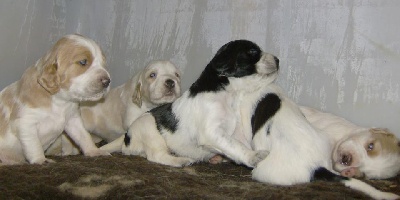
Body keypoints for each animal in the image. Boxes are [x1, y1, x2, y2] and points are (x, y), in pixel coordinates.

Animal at [0, 34, 111, 166]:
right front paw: (41, 160)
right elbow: (34, 144)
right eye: (83, 62)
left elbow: (84, 136)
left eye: (103, 63)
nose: (107, 81)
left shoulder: (73, 119)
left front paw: (94, 151)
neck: (60, 100)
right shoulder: (25, 122)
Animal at [101, 39, 278, 168]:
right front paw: (253, 156)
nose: (277, 59)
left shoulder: (233, 129)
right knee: (156, 155)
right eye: (253, 52)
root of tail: (127, 137)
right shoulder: (211, 132)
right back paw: (181, 160)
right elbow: (235, 145)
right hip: (150, 131)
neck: (229, 94)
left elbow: (237, 143)